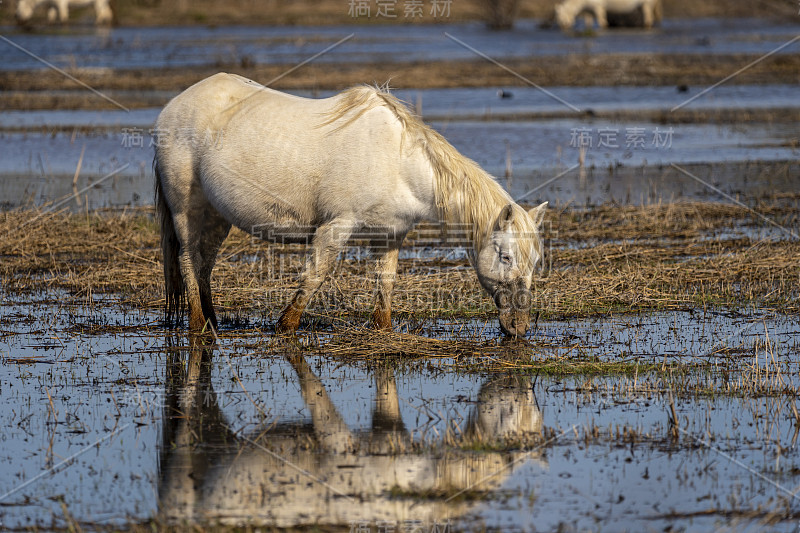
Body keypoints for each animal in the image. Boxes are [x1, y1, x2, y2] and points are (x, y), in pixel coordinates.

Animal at [153, 72, 548, 334]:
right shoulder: (336, 227)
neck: (397, 160)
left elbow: (385, 285)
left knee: (204, 263)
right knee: (188, 259)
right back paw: (199, 324)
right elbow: (315, 275)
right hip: (186, 209)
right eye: (506, 256)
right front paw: (285, 326)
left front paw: (382, 329)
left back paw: (211, 318)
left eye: (535, 261)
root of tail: (172, 107)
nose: (519, 327)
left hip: (217, 215)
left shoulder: (391, 236)